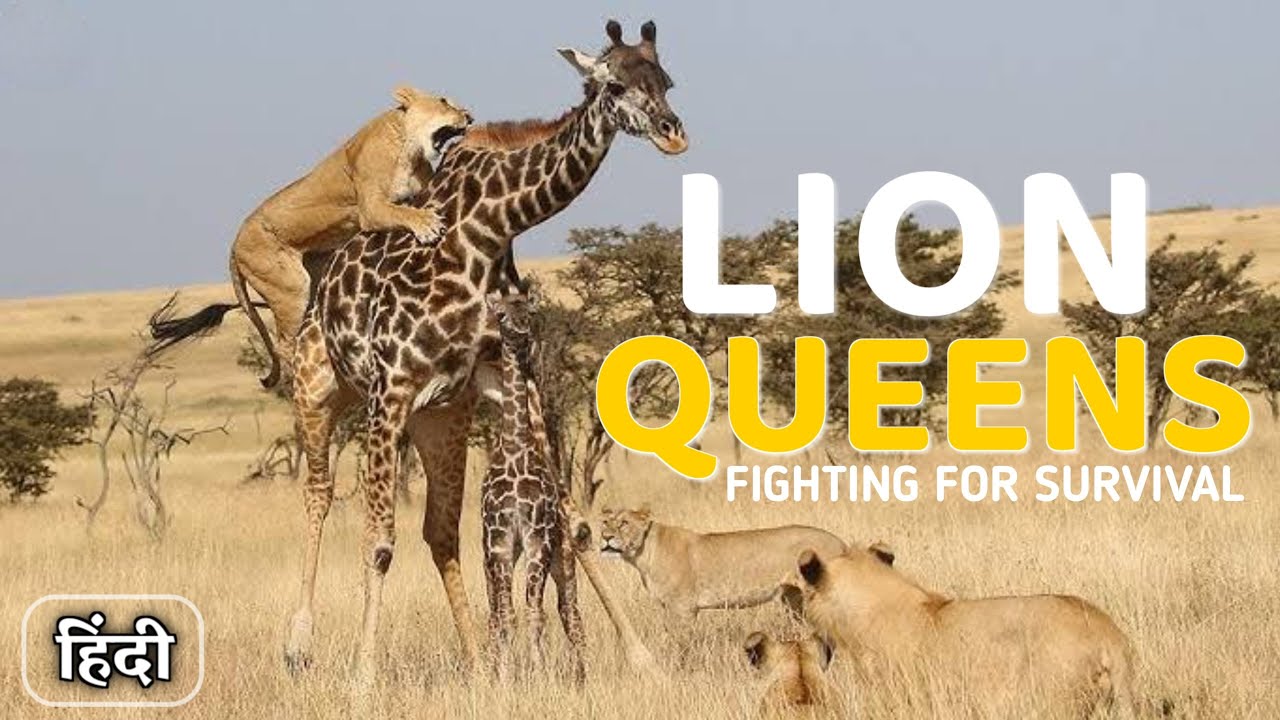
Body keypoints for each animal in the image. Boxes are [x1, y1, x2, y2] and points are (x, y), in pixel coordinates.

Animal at [227, 86, 471, 387]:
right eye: (444, 101)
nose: (470, 117)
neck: (409, 149)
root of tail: (234, 245)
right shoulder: (371, 208)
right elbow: (402, 212)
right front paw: (427, 224)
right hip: (289, 285)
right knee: (285, 344)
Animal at [597, 507, 846, 619]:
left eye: (624, 523)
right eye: (605, 523)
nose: (605, 537)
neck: (642, 556)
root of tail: (839, 541)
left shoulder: (683, 608)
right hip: (793, 599)